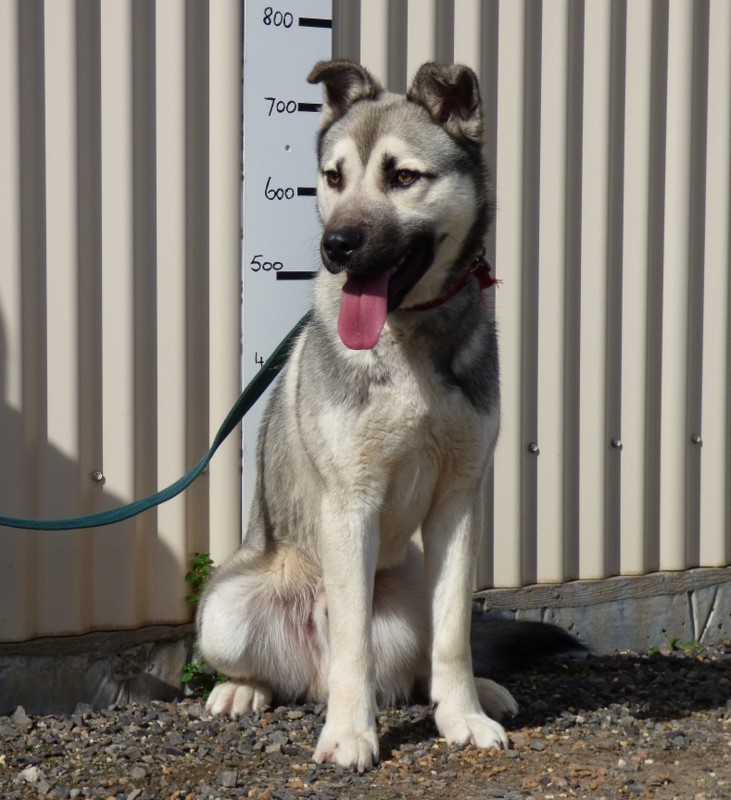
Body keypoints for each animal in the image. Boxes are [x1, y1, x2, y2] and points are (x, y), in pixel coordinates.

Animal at [198, 60, 580, 772]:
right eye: (333, 178)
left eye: (402, 177)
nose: (336, 247)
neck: (409, 336)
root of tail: (308, 674)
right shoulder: (352, 504)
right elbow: (354, 644)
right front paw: (351, 734)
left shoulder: (459, 501)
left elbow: (454, 635)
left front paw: (462, 717)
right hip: (225, 610)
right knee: (276, 662)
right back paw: (244, 689)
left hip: (414, 590)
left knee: (428, 651)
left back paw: (482, 692)